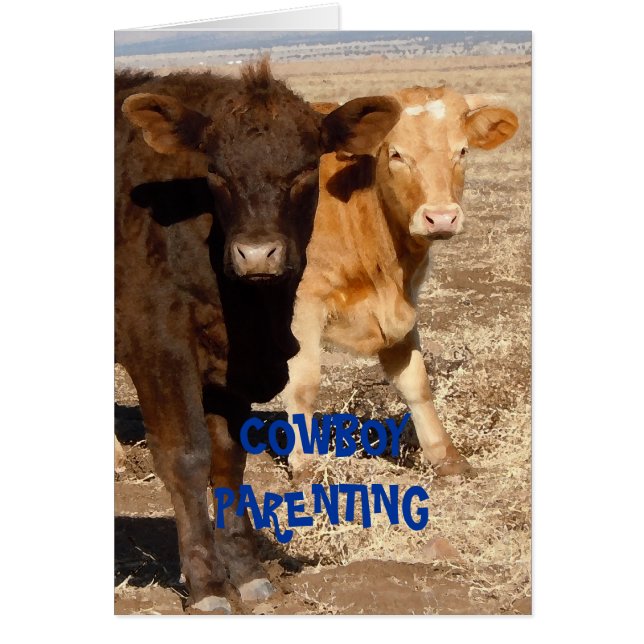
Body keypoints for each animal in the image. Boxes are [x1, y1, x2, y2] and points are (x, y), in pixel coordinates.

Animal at [115, 61, 401, 613]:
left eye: (306, 171)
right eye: (215, 173)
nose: (256, 254)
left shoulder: (231, 363)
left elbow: (228, 460)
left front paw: (246, 572)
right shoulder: (157, 343)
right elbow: (186, 456)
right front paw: (207, 584)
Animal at [283, 85, 518, 479]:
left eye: (462, 151)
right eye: (396, 154)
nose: (441, 217)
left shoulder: (405, 304)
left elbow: (416, 382)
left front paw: (446, 457)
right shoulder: (303, 303)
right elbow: (304, 384)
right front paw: (304, 464)